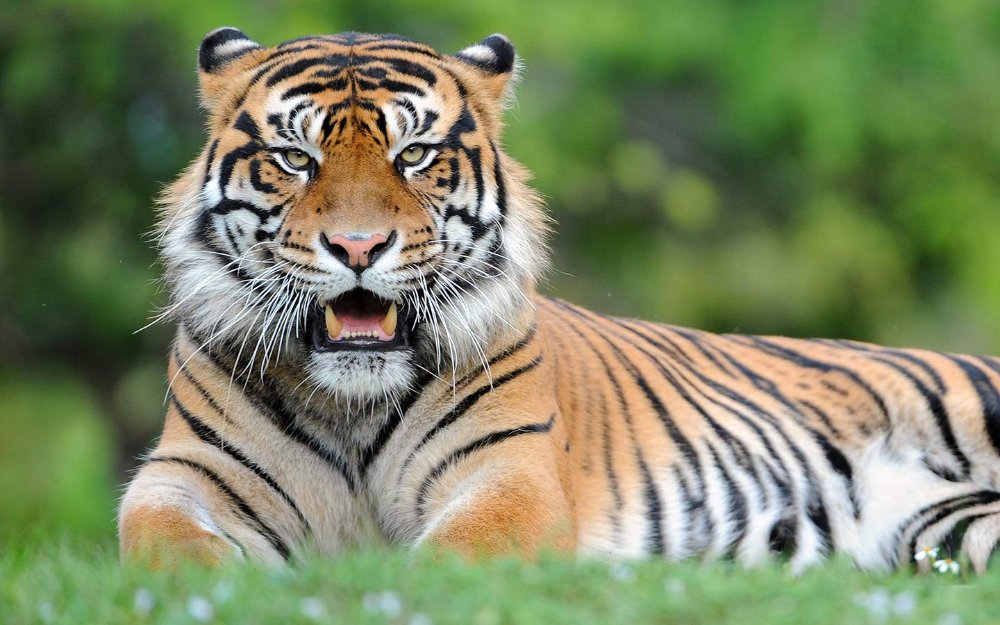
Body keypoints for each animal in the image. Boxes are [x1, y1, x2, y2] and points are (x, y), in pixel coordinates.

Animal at [119, 29, 1000, 572]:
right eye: (296, 158)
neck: (352, 405)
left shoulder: (511, 474)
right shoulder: (184, 471)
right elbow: (158, 538)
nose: (359, 247)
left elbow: (453, 554)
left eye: (415, 155)